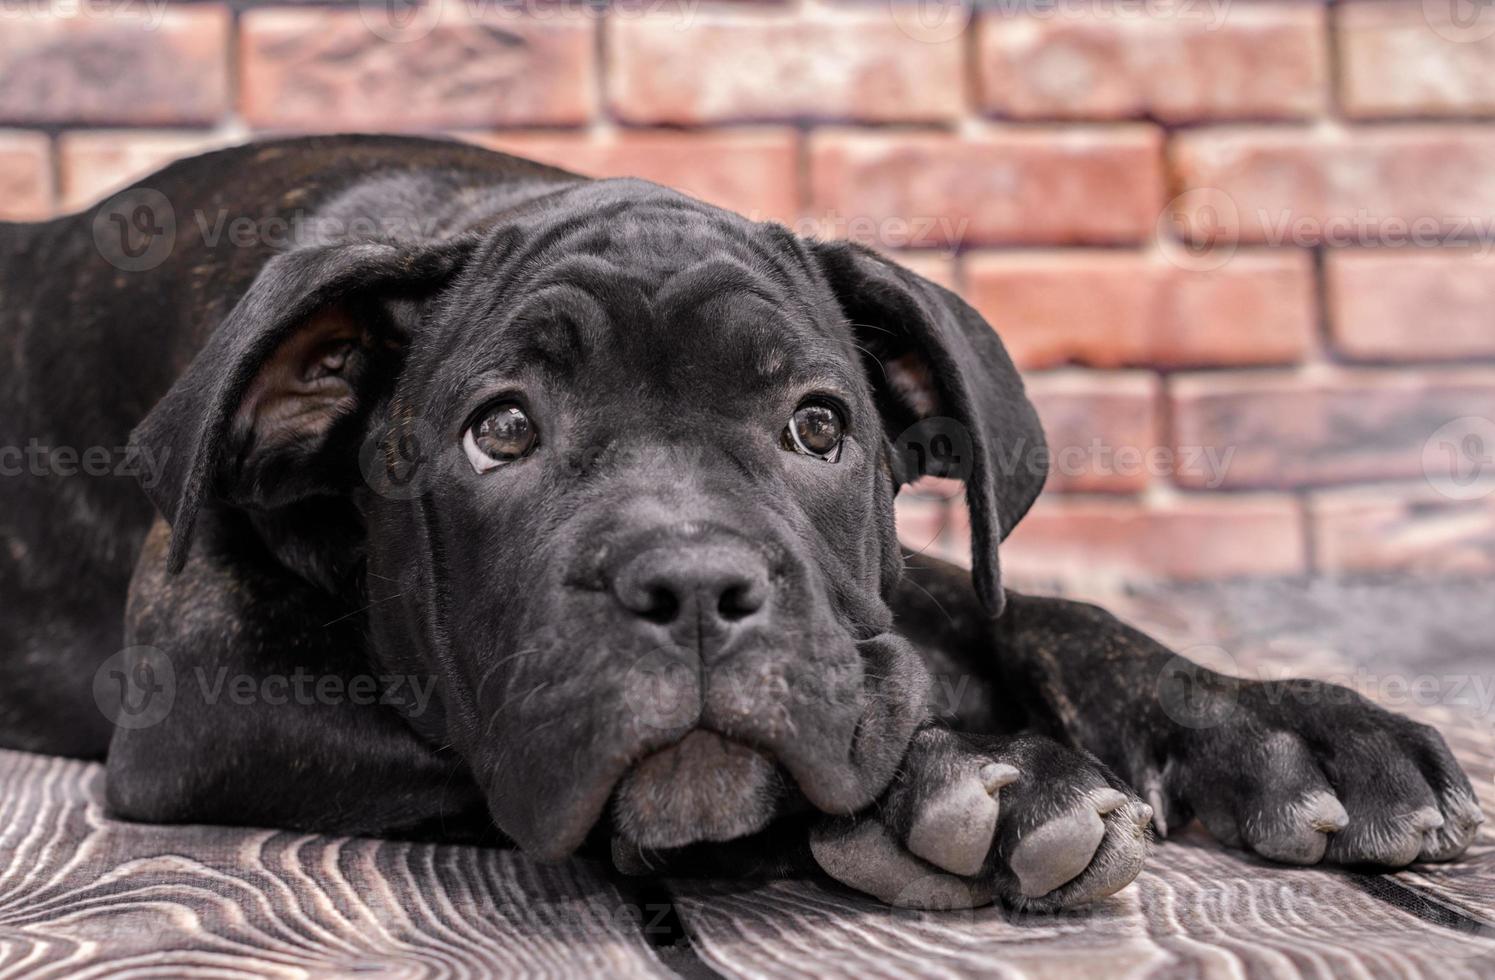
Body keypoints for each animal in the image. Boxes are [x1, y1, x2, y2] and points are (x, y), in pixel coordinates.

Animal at [0, 135, 1477, 908]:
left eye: (816, 429)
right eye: (501, 432)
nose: (696, 584)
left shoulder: (867, 591)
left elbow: (1018, 611)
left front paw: (1280, 726)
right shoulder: (205, 697)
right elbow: (477, 752)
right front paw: (967, 778)